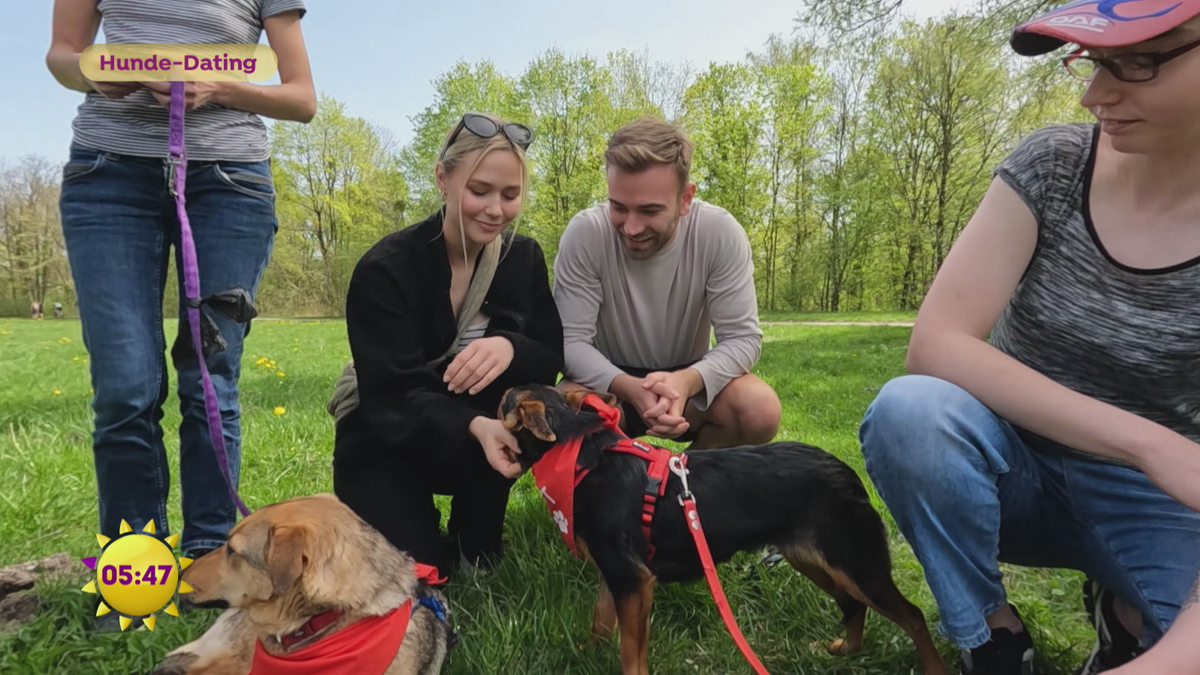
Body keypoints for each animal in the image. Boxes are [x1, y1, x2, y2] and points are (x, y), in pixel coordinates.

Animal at [496, 384, 945, 672]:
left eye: (501, 405)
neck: (578, 455)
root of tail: (848, 474)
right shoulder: (618, 576)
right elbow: (600, 621)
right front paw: (587, 653)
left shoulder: (633, 581)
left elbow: (629, 653)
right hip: (814, 559)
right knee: (852, 605)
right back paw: (848, 649)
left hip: (855, 562)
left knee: (912, 615)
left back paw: (931, 667)